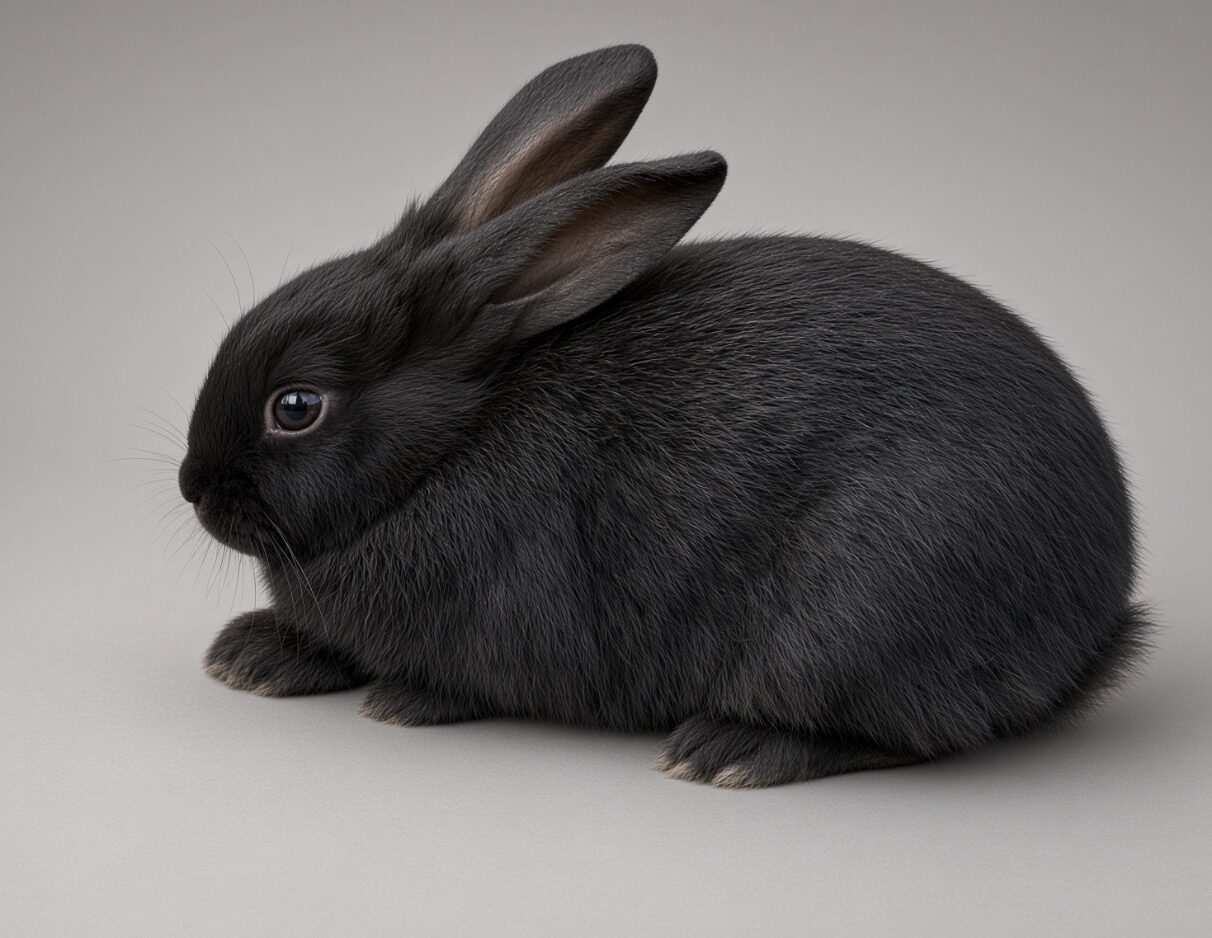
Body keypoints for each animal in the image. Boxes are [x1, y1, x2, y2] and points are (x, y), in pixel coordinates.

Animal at [179, 44, 1148, 788]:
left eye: (296, 407)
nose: (193, 486)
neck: (446, 447)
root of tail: (1096, 624)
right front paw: (251, 656)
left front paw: (397, 701)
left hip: (859, 615)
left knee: (904, 731)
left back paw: (729, 750)